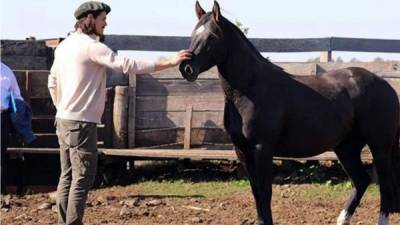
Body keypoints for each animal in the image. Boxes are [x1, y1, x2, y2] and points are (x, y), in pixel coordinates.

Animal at [180, 1, 400, 225]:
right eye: (193, 34)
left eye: (212, 37)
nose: (186, 68)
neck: (250, 89)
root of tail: (385, 85)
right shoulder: (242, 151)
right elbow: (256, 192)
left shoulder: (262, 149)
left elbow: (265, 192)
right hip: (346, 147)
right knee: (361, 181)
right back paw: (342, 219)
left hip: (379, 147)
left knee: (384, 186)